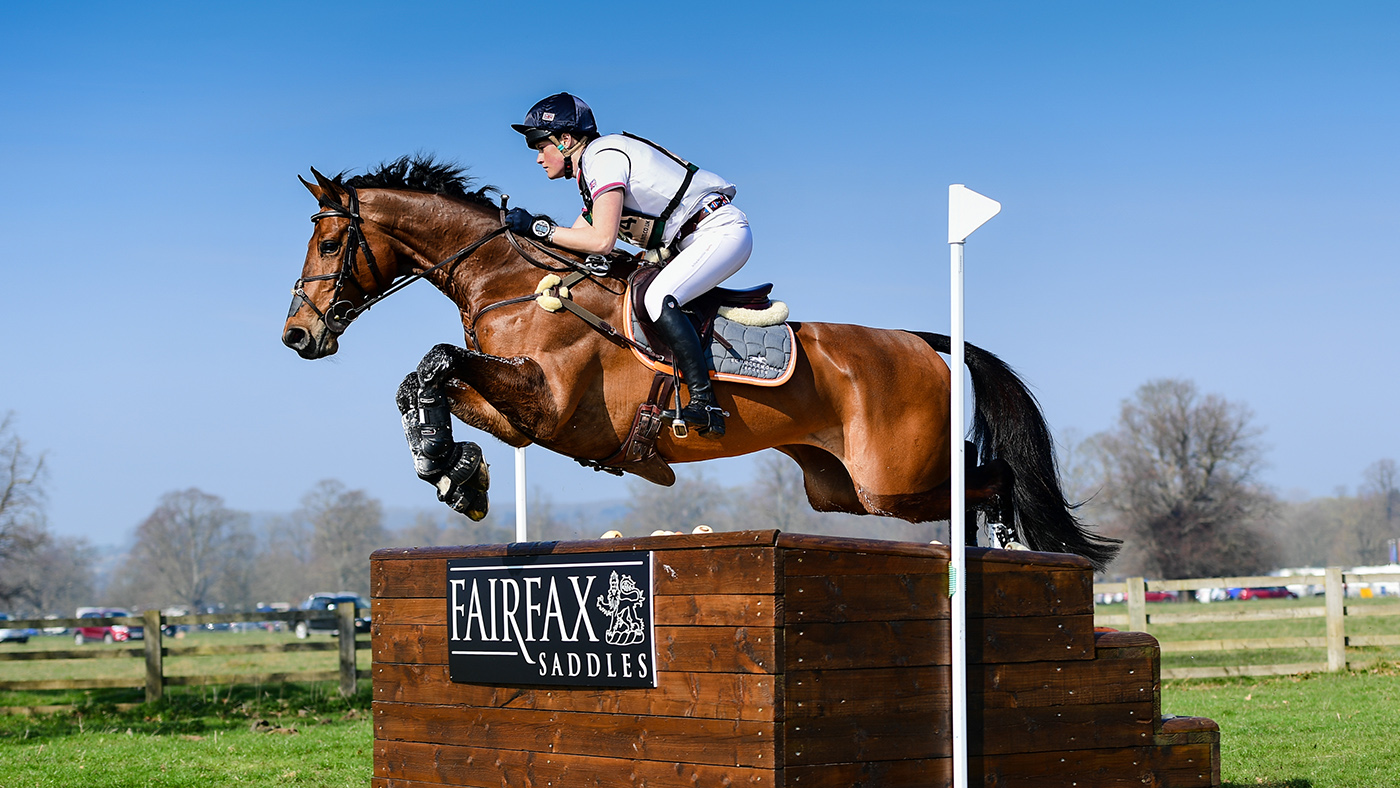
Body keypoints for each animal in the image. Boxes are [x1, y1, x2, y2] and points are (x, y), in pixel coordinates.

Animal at [281, 156, 1120, 570]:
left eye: (331, 241)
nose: (297, 336)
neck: (514, 282)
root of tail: (921, 340)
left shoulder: (549, 404)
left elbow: (438, 360)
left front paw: (447, 465)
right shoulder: (523, 415)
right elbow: (429, 377)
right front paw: (453, 468)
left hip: (892, 474)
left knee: (992, 473)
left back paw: (1013, 550)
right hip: (842, 488)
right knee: (966, 478)